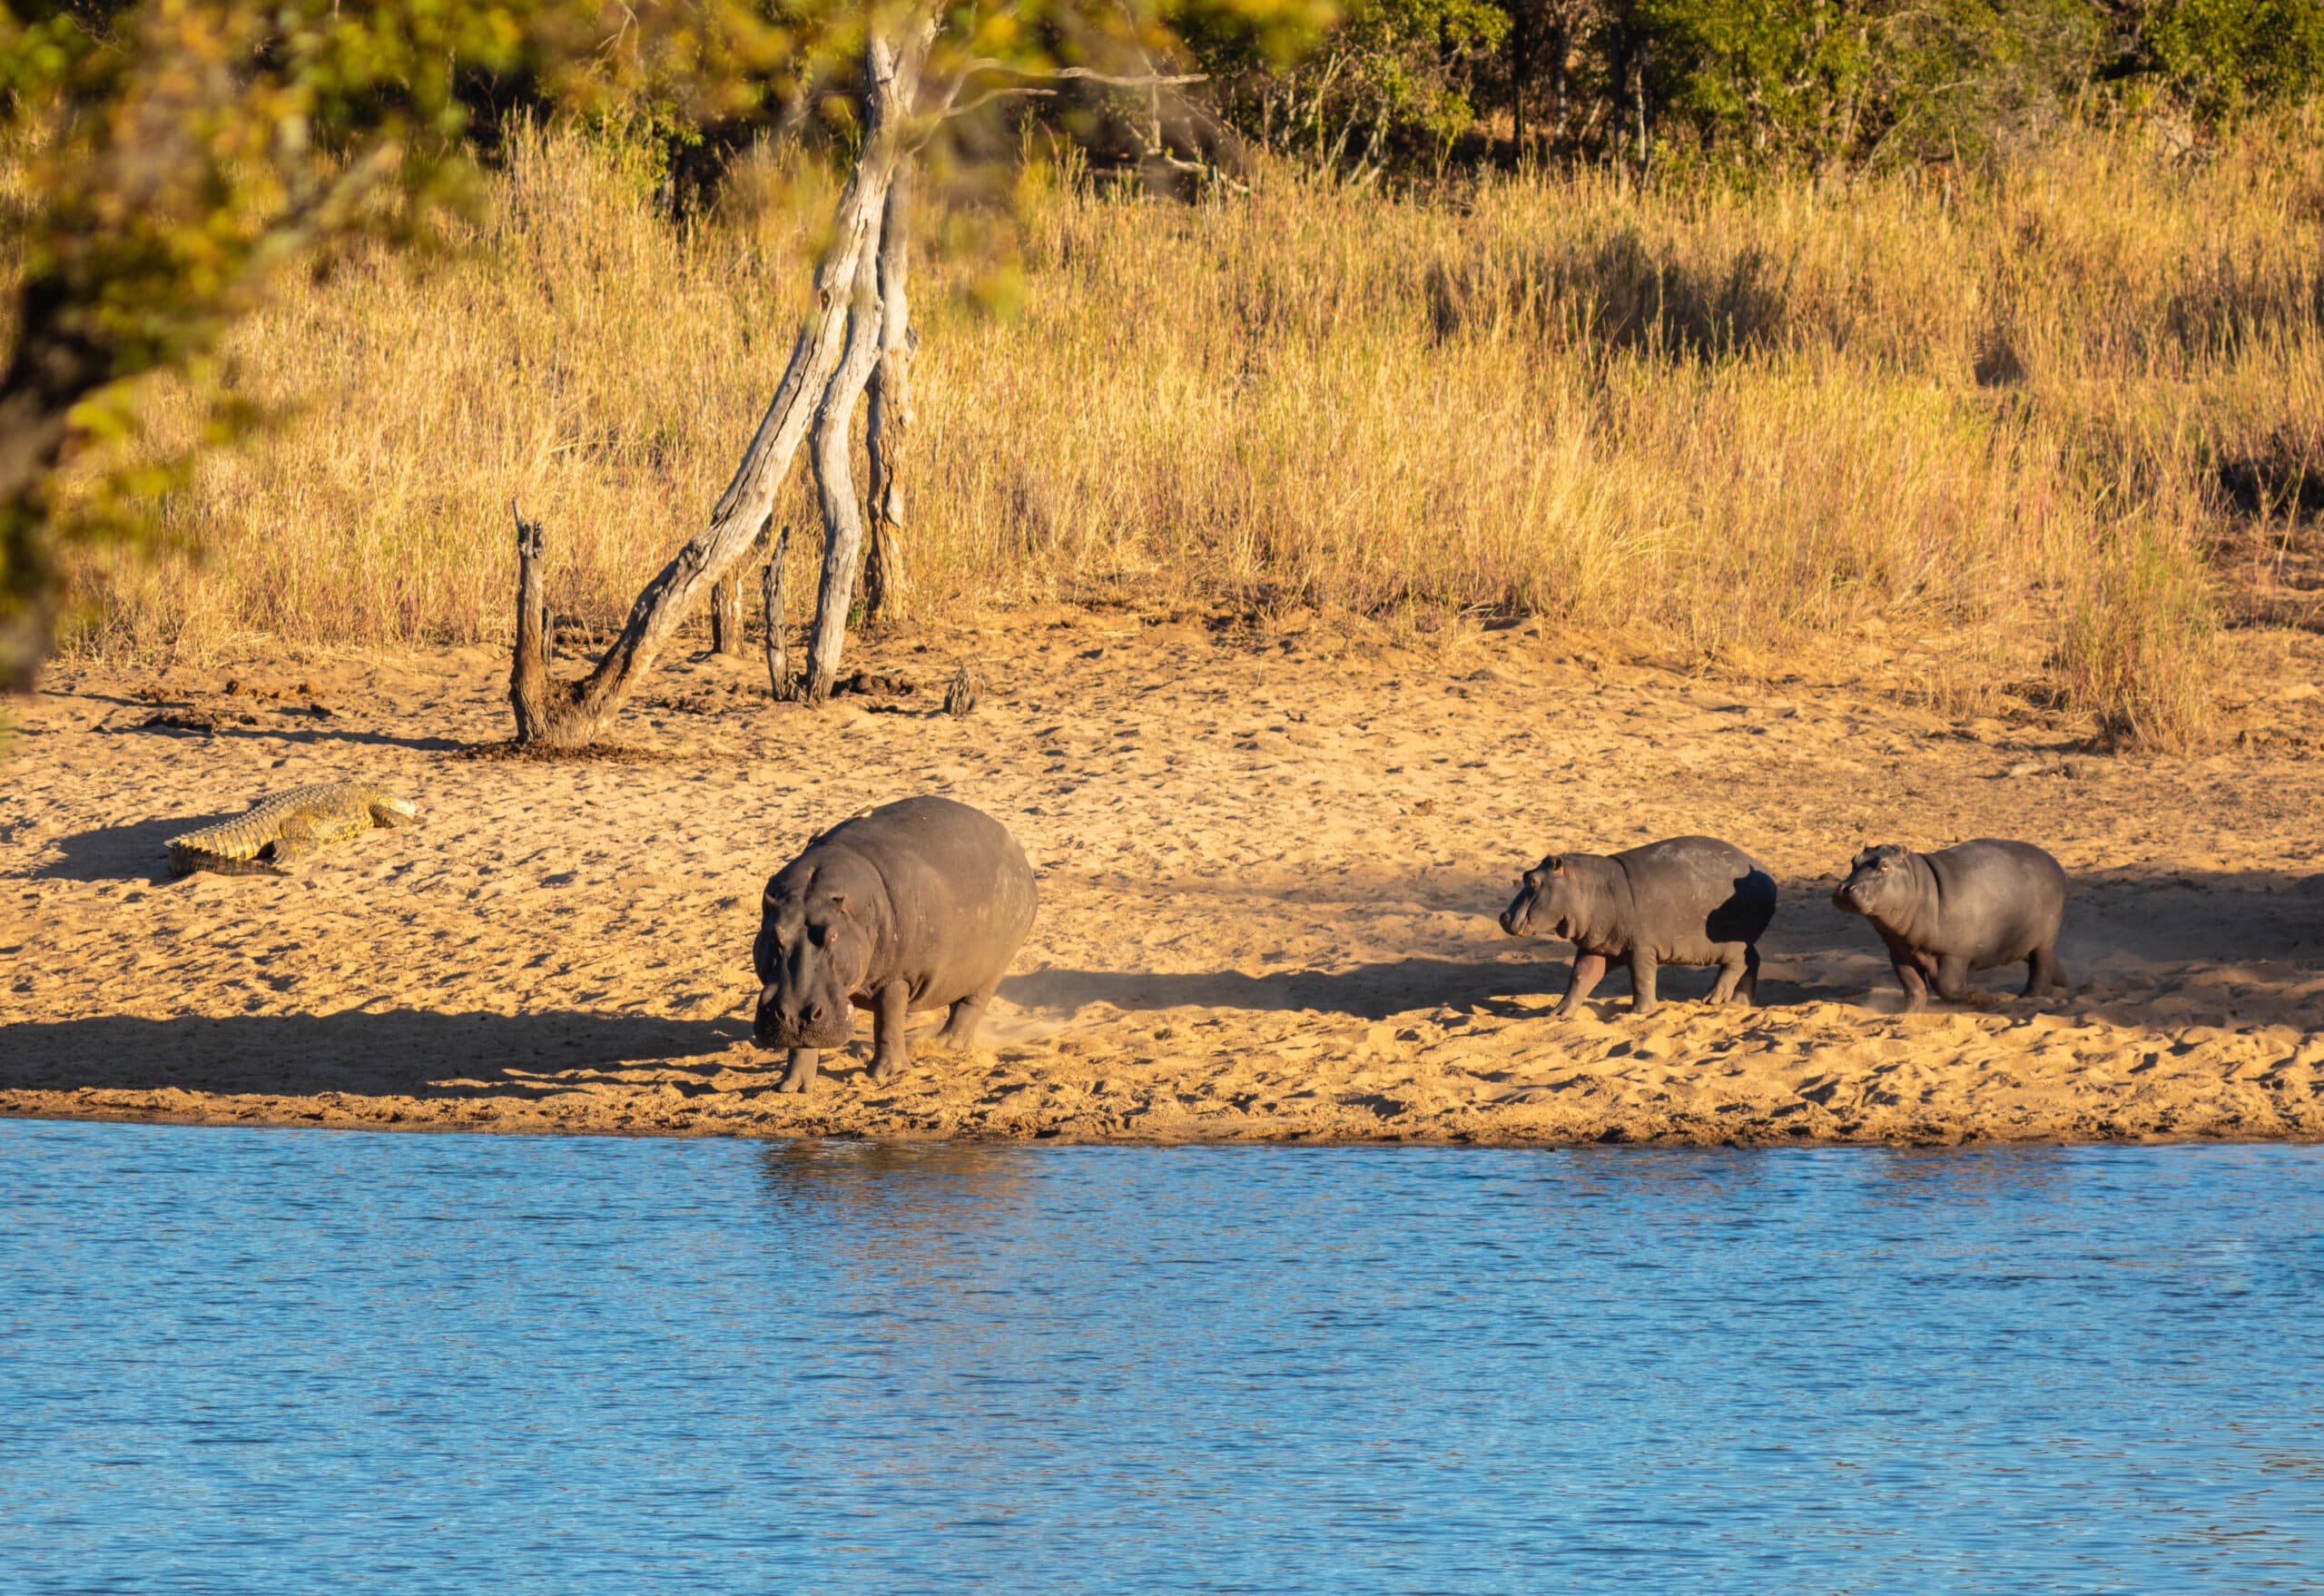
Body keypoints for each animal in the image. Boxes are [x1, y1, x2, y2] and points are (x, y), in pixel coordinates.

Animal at [753, 796, 1038, 1093]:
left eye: (832, 936)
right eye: (775, 936)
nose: (794, 1015)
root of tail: (1017, 851)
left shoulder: (896, 977)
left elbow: (887, 1023)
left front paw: (888, 1074)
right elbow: (802, 1044)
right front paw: (791, 1086)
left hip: (994, 967)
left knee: (970, 1006)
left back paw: (945, 1046)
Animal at [1499, 836, 1778, 1018]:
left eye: (1534, 881)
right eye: (1525, 875)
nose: (1503, 916)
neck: (1589, 888)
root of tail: (1766, 872)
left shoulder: (1642, 949)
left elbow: (1642, 979)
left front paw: (1638, 1013)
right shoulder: (1594, 947)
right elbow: (1580, 978)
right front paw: (1557, 1013)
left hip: (1734, 943)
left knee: (1737, 964)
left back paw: (1711, 999)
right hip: (1746, 941)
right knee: (1753, 960)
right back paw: (1740, 1003)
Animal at [1831, 839, 2066, 1011]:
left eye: (1885, 865)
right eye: (1854, 860)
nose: (1846, 888)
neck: (1917, 884)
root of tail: (2054, 862)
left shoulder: (1954, 954)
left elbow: (1946, 985)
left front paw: (1985, 997)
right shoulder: (1900, 953)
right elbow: (1913, 986)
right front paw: (1908, 1013)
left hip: (2044, 941)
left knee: (2040, 969)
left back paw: (2027, 998)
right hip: (2026, 944)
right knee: (2051, 964)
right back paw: (2064, 987)